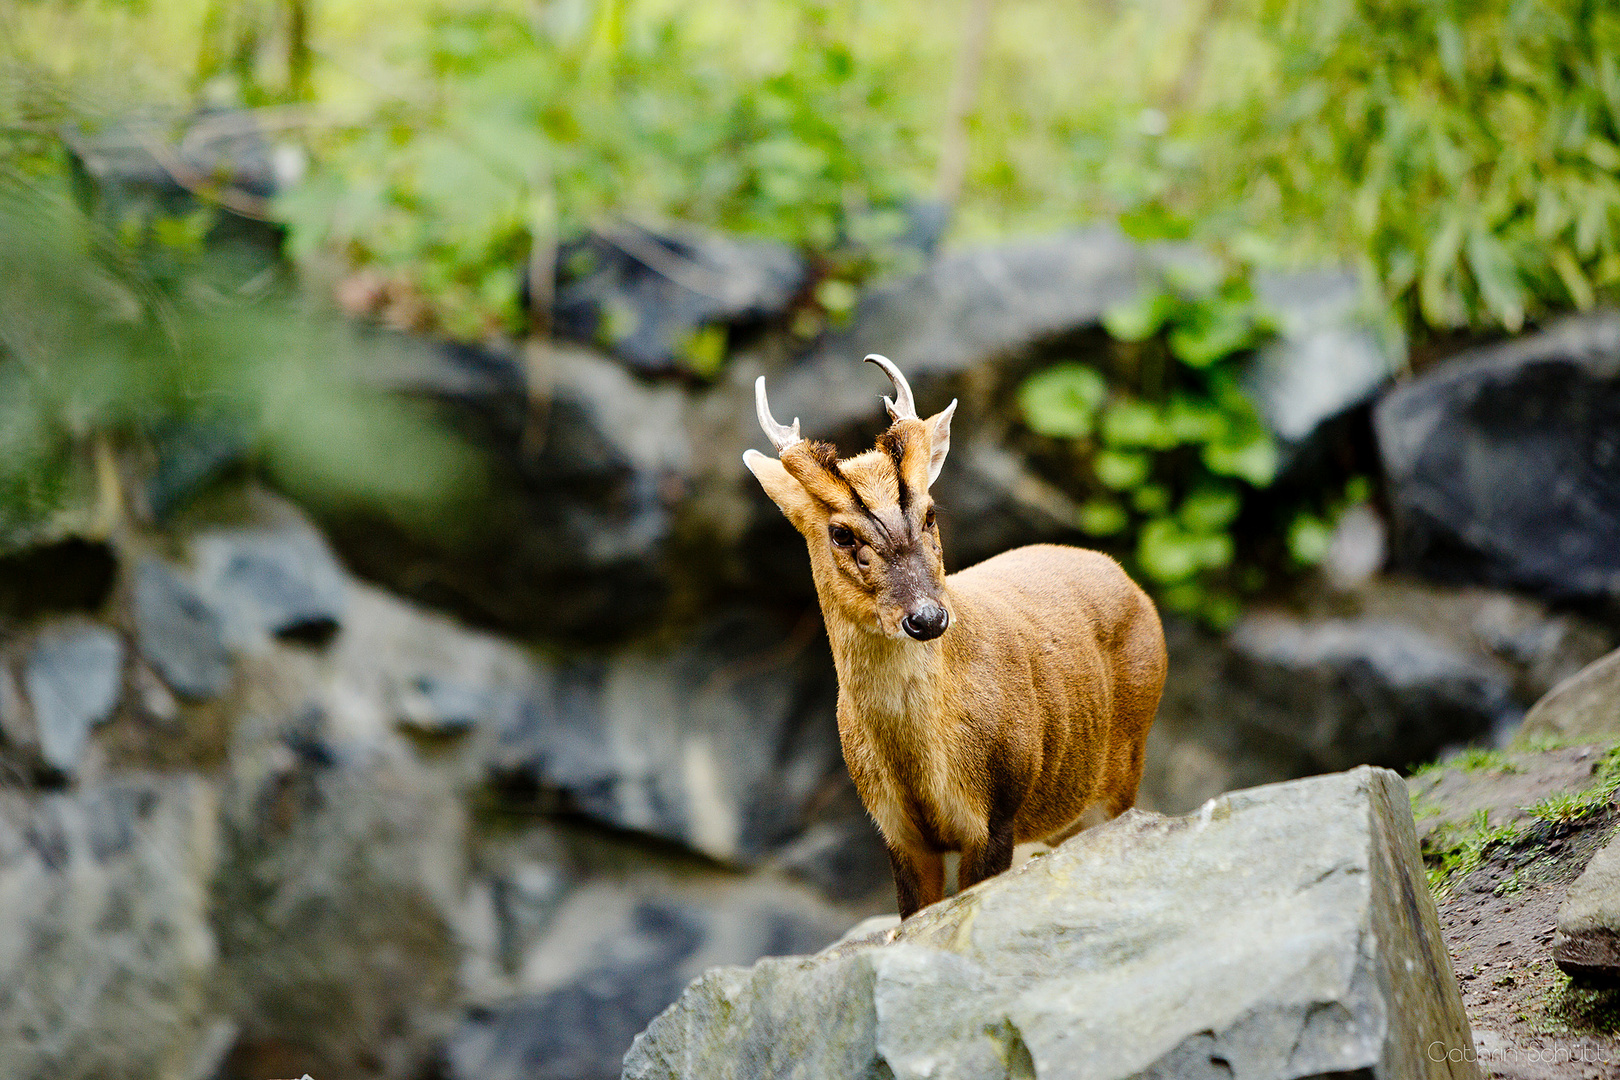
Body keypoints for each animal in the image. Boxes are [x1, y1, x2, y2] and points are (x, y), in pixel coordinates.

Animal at [745, 359, 1166, 919]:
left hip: (1123, 766)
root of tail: (1130, 583)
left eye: (930, 513)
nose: (926, 618)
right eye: (841, 534)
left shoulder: (997, 813)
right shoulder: (897, 831)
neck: (921, 764)